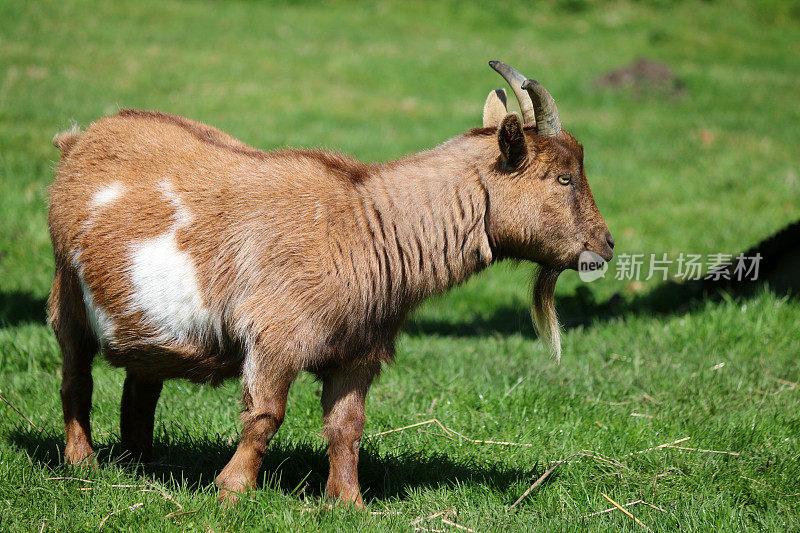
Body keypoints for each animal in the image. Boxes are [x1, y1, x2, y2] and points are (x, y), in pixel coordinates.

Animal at [48, 60, 612, 504]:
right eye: (563, 177)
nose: (605, 246)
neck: (361, 228)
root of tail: (80, 139)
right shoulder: (274, 337)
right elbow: (265, 416)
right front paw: (232, 491)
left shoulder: (357, 351)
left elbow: (347, 428)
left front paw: (347, 502)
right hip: (67, 293)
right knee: (76, 377)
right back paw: (83, 462)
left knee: (141, 384)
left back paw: (142, 462)